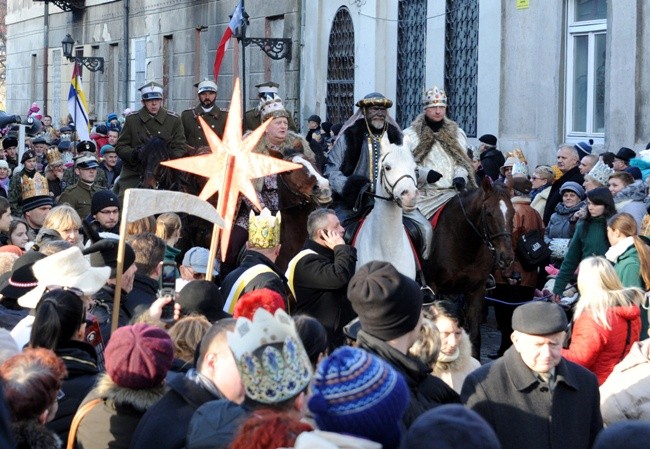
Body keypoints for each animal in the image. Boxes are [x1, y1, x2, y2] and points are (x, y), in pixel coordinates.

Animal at [422, 178, 512, 356]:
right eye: (489, 213)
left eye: (513, 212)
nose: (506, 257)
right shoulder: (433, 289)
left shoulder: (476, 290)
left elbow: (474, 336)